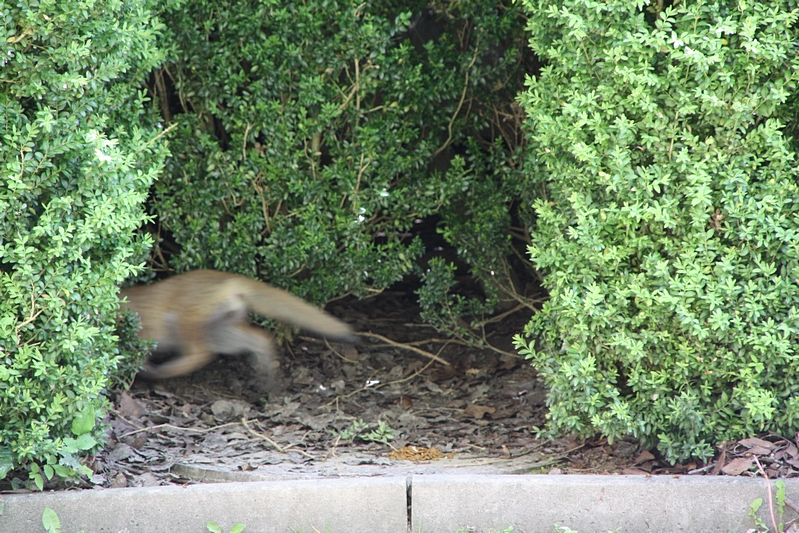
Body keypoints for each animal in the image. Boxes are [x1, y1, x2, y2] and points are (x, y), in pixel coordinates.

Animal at [119, 269, 355, 392]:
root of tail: (232, 278)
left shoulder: (142, 335)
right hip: (221, 334)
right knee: (261, 338)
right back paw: (268, 382)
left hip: (187, 324)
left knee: (201, 354)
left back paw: (162, 371)